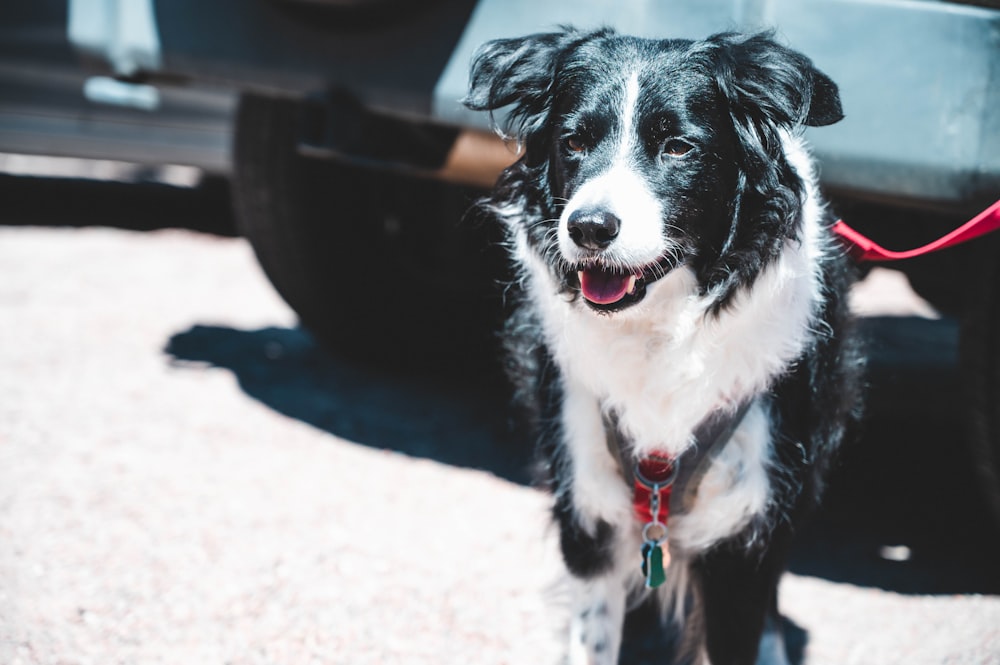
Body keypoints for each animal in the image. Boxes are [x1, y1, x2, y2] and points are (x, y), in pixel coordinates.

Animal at [464, 28, 864, 660]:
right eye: (573, 141)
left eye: (678, 147)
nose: (589, 228)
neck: (660, 327)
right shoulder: (588, 507)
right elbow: (593, 636)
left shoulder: (741, 530)